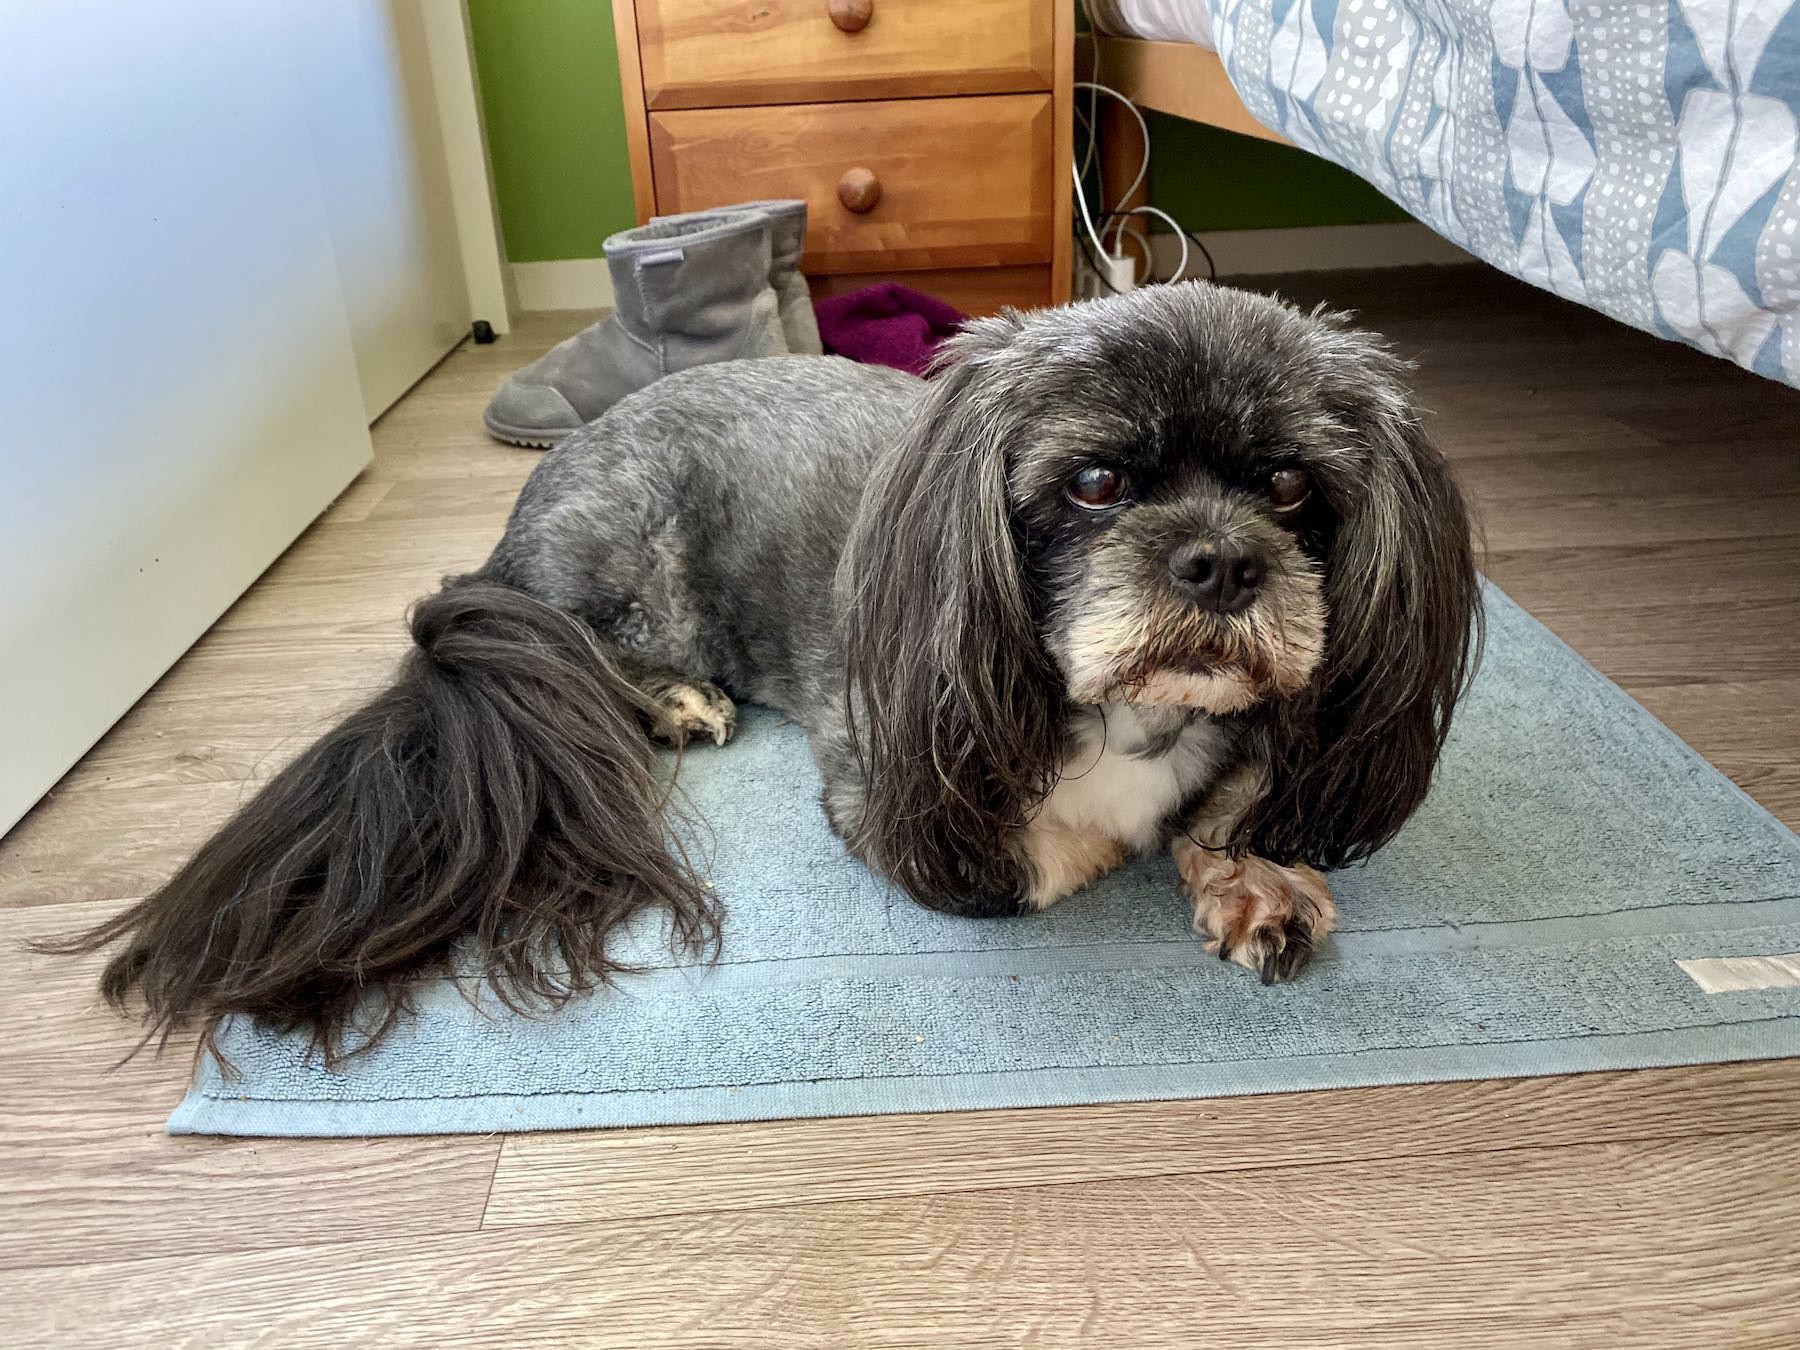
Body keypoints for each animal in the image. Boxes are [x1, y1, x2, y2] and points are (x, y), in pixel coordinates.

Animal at [59, 286, 1490, 1065]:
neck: (1132, 709)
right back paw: (668, 696)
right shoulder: (884, 779)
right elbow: (1034, 851)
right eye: (1095, 483)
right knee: (581, 653)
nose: (1218, 561)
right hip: (624, 558)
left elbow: (1239, 799)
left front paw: (1253, 877)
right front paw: (1118, 835)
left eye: (1293, 489)